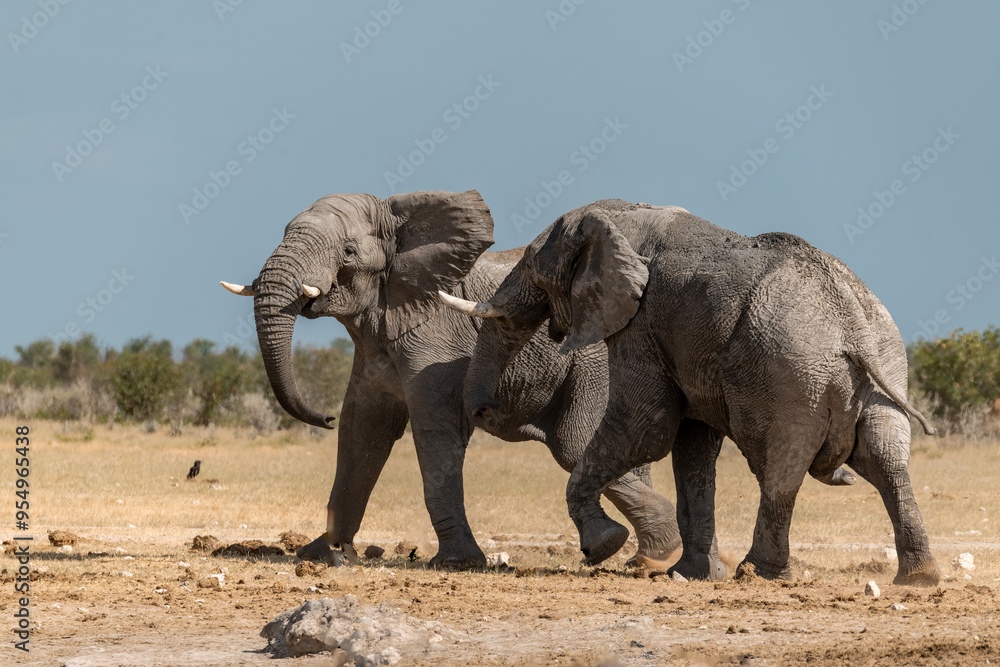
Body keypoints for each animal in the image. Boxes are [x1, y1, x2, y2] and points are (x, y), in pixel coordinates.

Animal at [220, 190, 680, 568]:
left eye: (348, 252)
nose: (322, 418)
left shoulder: (436, 344)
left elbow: (435, 434)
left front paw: (458, 562)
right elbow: (361, 433)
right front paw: (322, 554)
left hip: (593, 366)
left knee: (572, 444)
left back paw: (625, 548)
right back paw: (648, 557)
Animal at [442, 198, 940, 585]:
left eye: (534, 267)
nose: (483, 411)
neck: (622, 214)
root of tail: (851, 323)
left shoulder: (642, 321)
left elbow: (647, 428)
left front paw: (604, 545)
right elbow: (692, 447)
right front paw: (691, 575)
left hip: (793, 377)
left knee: (777, 469)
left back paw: (757, 574)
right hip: (885, 364)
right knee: (886, 461)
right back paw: (918, 579)